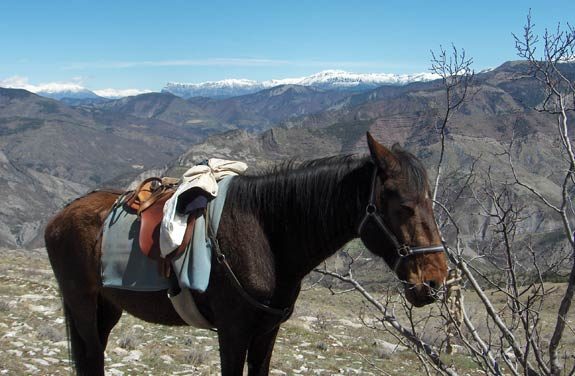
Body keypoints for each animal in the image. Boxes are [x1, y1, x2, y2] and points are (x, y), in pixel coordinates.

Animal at [45, 133, 450, 376]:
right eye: (403, 206)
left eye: (430, 201)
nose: (433, 281)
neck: (266, 234)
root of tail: (59, 216)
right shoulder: (233, 333)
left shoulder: (266, 333)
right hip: (81, 303)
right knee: (91, 355)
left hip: (108, 306)